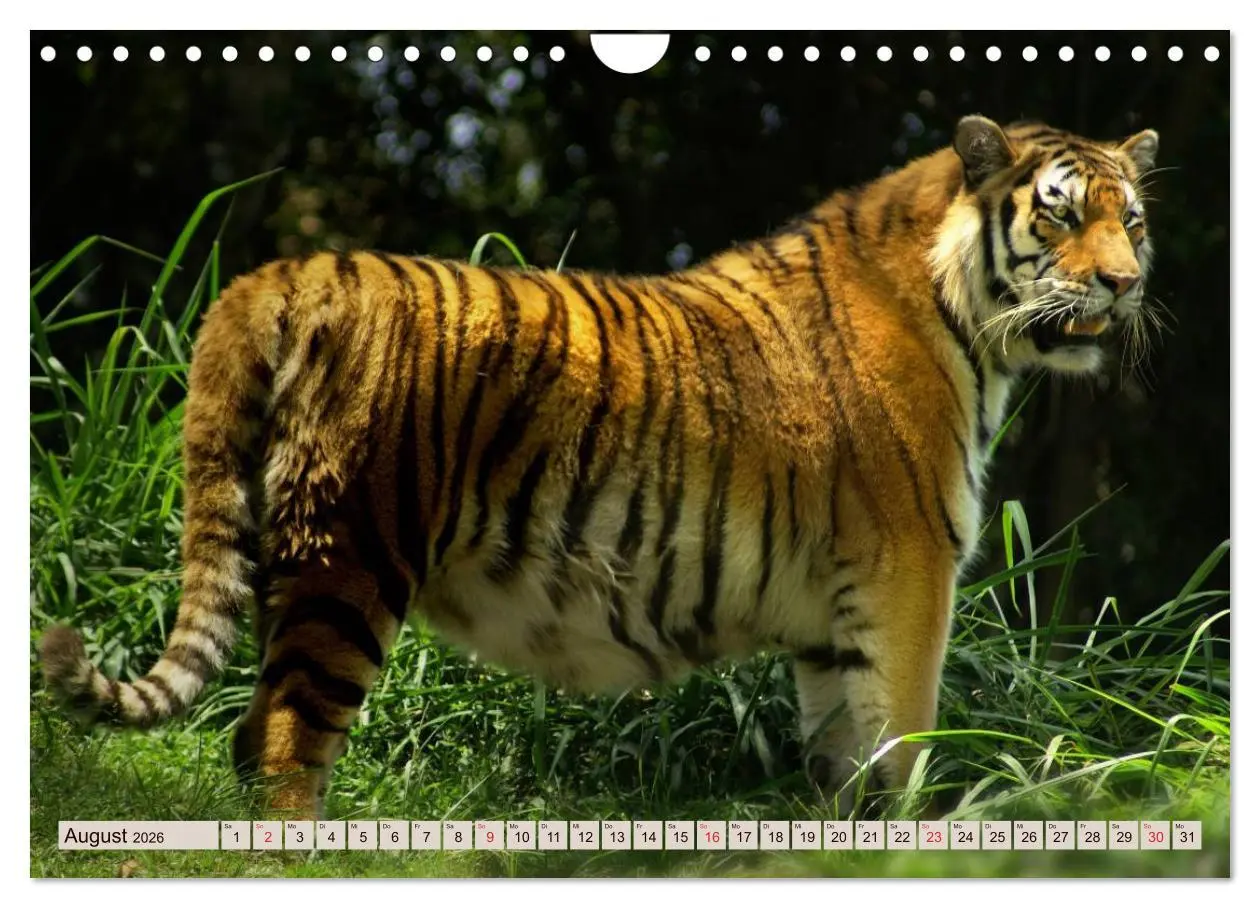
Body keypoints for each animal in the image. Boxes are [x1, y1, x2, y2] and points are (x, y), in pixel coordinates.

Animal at [39, 115, 1160, 818]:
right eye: (1061, 213)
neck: (961, 314)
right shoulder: (911, 574)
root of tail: (291, 267)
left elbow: (842, 767)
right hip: (349, 553)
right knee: (280, 740)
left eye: (1133, 218)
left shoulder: (835, 621)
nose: (1127, 282)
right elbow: (904, 751)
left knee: (246, 734)